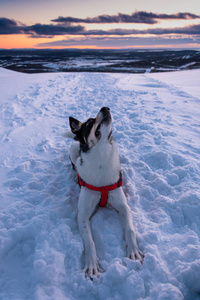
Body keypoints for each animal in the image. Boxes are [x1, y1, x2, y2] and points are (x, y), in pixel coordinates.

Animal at [66, 106, 143, 278]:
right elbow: (89, 241)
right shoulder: (82, 214)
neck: (101, 157)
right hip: (73, 149)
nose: (105, 108)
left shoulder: (123, 206)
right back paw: (75, 175)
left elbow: (130, 228)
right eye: (89, 123)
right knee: (74, 164)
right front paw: (92, 263)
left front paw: (133, 250)